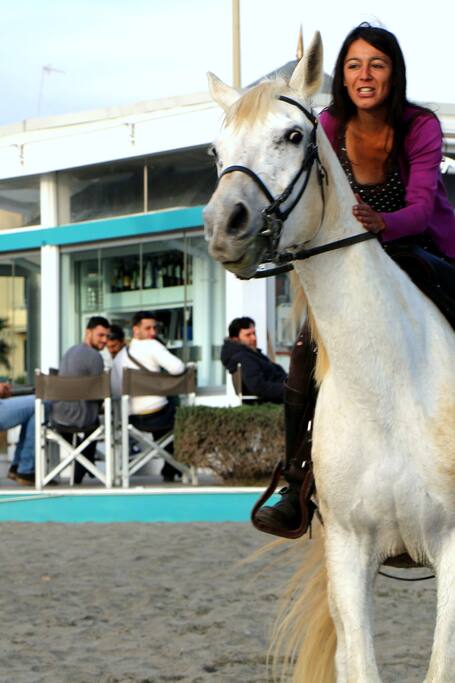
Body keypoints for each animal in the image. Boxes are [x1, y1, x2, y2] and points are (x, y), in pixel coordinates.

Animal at [203, 31, 455, 683]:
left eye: (293, 136)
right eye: (216, 150)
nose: (223, 225)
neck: (388, 385)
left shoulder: (453, 544)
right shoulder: (348, 546)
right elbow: (358, 663)